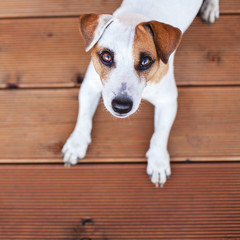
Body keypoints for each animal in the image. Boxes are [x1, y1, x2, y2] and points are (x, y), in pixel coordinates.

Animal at [62, 0, 219, 188]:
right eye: (106, 56)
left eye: (145, 61)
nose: (121, 106)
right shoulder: (90, 85)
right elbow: (84, 117)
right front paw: (76, 143)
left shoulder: (168, 101)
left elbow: (160, 133)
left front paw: (158, 161)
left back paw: (211, 7)